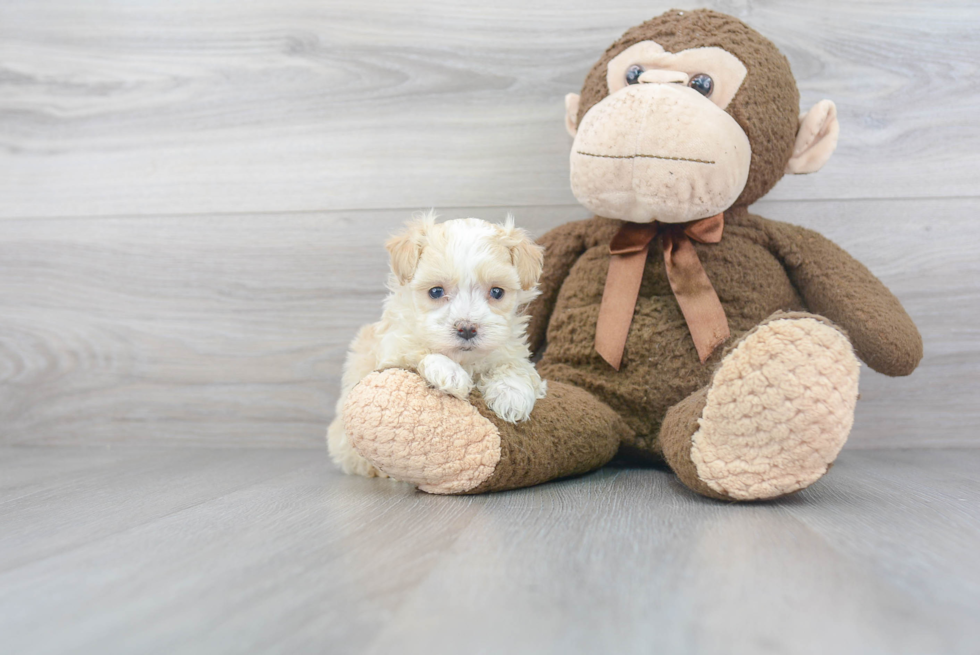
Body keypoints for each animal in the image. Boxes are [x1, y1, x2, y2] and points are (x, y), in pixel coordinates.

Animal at [328, 213, 544, 480]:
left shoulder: (509, 348)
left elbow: (514, 366)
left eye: (496, 292)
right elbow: (422, 352)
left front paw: (512, 396)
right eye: (436, 291)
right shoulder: (393, 349)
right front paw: (450, 374)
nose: (467, 328)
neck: (464, 359)